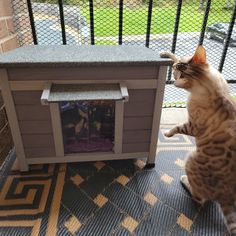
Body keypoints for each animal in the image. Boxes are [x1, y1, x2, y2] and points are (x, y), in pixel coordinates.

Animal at [161, 45, 236, 235]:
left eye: (175, 73)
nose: (173, 75)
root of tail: (226, 196)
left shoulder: (192, 126)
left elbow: (177, 128)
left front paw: (167, 134)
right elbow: (175, 55)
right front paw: (165, 53)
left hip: (190, 159)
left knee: (200, 198)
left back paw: (184, 180)